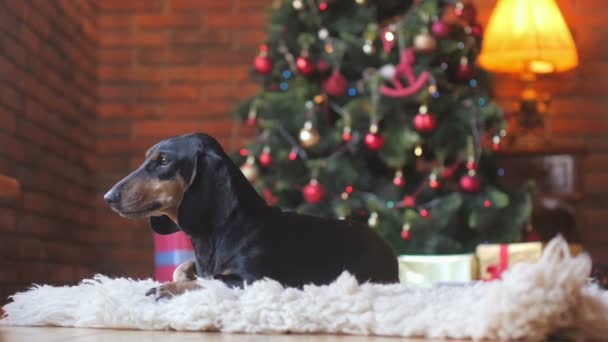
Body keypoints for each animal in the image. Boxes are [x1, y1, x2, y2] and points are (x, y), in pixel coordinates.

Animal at [104, 134, 400, 300]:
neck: (223, 231)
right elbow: (184, 268)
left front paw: (167, 289)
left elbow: (210, 279)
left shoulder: (256, 279)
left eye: (164, 160)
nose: (108, 197)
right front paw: (176, 281)